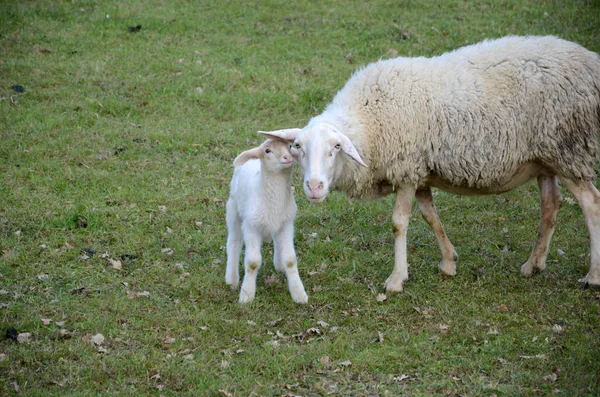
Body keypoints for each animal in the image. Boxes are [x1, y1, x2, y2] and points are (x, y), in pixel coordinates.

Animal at [225, 133, 310, 304]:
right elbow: (252, 263)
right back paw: (231, 279)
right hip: (233, 210)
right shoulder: (251, 226)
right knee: (234, 243)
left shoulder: (286, 223)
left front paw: (299, 294)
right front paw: (247, 295)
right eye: (267, 151)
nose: (287, 157)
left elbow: (290, 259)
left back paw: (279, 264)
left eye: (289, 146)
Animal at [260, 36, 600, 290]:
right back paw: (534, 264)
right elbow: (430, 216)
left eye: (336, 147)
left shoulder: (406, 169)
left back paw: (592, 276)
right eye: (298, 148)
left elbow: (399, 223)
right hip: (545, 158)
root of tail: (591, 61)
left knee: (591, 204)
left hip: (568, 148)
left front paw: (397, 279)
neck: (368, 121)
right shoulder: (420, 172)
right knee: (550, 205)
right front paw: (449, 262)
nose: (314, 186)